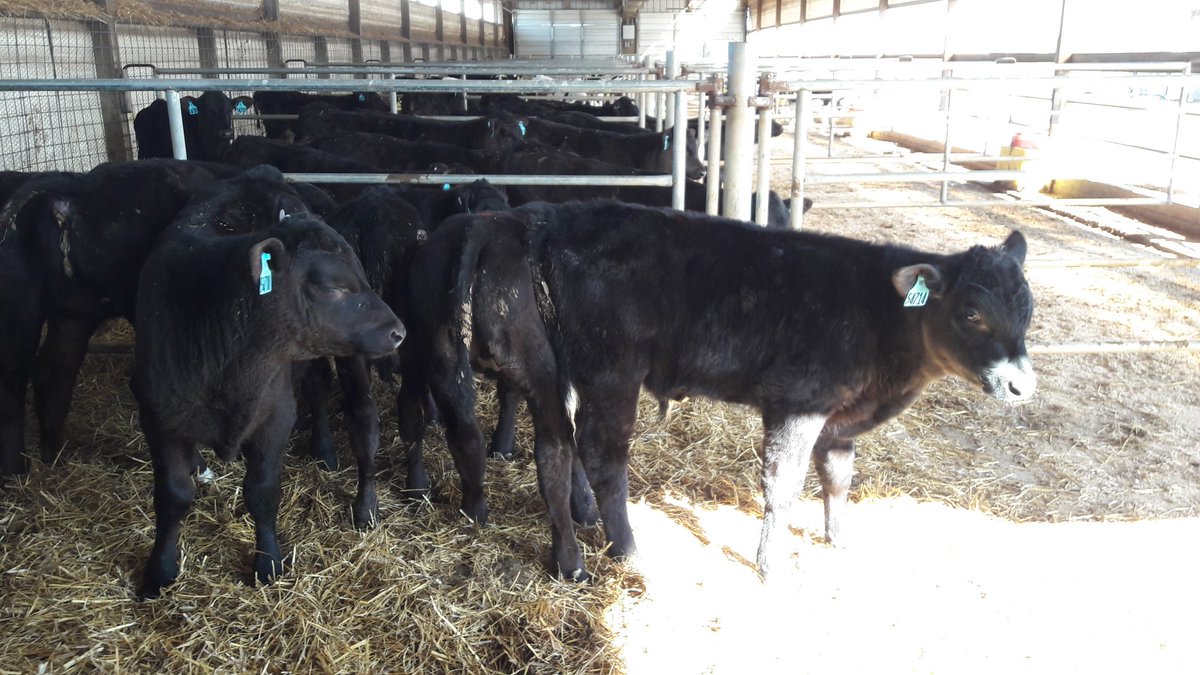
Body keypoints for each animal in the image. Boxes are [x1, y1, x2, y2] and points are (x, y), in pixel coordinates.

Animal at [133, 170, 404, 598]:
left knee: (363, 422)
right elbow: (173, 496)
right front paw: (159, 571)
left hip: (352, 358)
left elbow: (261, 492)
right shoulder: (159, 417)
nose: (398, 331)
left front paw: (268, 563)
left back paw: (365, 506)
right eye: (332, 286)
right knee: (317, 385)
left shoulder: (275, 415)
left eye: (359, 276)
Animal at [406, 200, 1035, 582]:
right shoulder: (797, 405)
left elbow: (838, 480)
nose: (1021, 383)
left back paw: (571, 556)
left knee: (555, 453)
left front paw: (838, 541)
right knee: (601, 458)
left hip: (550, 374)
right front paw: (769, 564)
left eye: (1027, 307)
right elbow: (783, 488)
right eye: (972, 313)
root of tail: (533, 219)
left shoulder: (838, 417)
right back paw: (628, 552)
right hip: (612, 371)